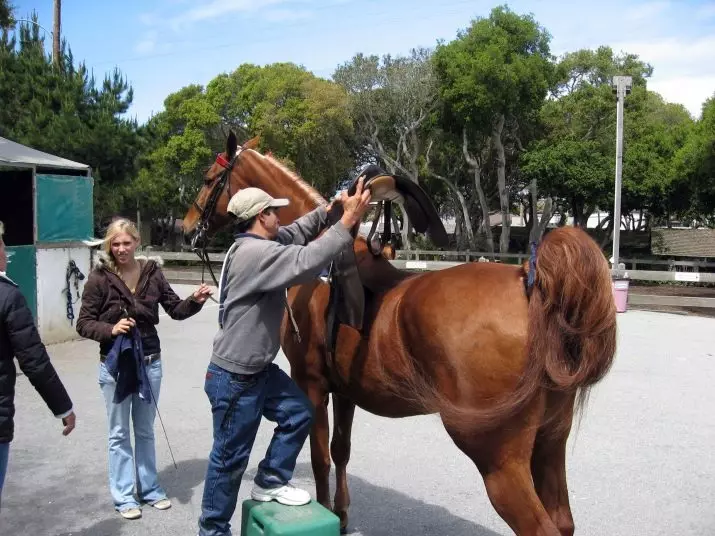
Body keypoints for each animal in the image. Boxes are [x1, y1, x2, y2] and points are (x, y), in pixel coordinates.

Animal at [186, 134, 620, 536]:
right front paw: (342, 516)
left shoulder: (311, 384)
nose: (188, 227)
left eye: (208, 178)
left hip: (496, 457)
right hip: (550, 443)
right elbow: (340, 451)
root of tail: (528, 280)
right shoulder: (345, 390)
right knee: (563, 521)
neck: (315, 262)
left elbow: (320, 457)